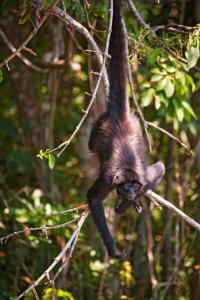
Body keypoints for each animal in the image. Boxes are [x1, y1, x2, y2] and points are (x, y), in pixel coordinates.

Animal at [86, 0, 165, 258]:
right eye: (126, 185)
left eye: (133, 186)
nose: (130, 192)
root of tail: (120, 116)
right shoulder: (109, 179)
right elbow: (93, 199)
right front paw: (112, 249)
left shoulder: (144, 177)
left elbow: (158, 170)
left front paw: (128, 203)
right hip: (100, 126)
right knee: (91, 144)